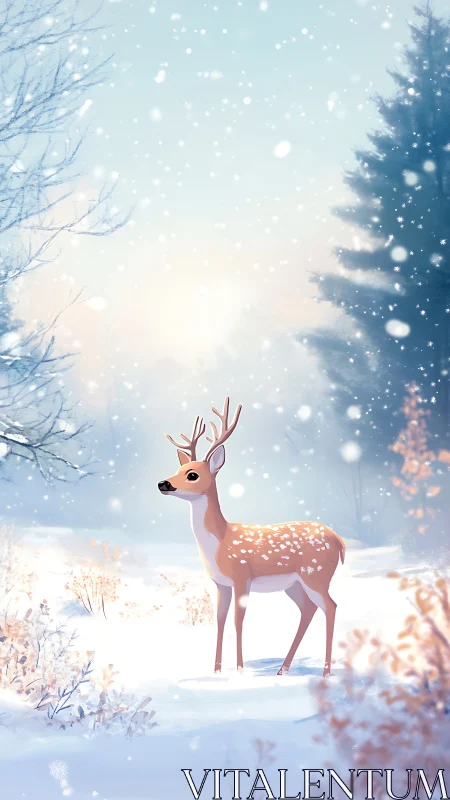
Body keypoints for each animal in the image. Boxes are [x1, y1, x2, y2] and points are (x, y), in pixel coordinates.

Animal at [158, 397, 345, 677]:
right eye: (178, 468)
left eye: (192, 474)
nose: (163, 484)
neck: (220, 541)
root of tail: (339, 539)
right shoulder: (221, 583)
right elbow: (220, 620)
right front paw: (216, 671)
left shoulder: (241, 576)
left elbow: (238, 620)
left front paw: (239, 669)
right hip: (295, 584)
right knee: (308, 609)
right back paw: (282, 669)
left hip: (317, 574)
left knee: (330, 607)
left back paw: (325, 673)